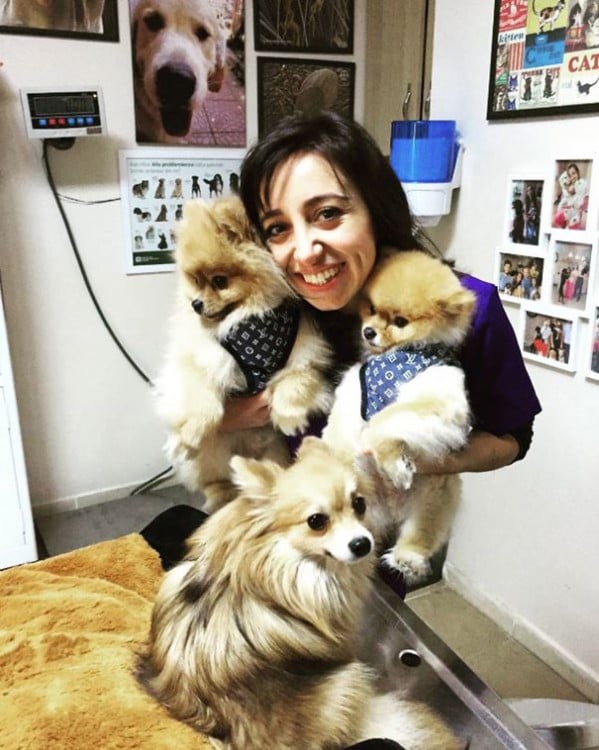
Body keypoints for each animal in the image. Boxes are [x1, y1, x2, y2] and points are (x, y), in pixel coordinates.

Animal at [155, 197, 336, 516]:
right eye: (195, 280)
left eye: (219, 281)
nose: (195, 304)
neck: (250, 320)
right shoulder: (200, 360)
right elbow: (203, 402)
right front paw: (189, 436)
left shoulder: (306, 355)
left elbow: (294, 383)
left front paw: (289, 418)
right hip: (215, 453)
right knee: (214, 479)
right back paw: (221, 495)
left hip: (272, 452)